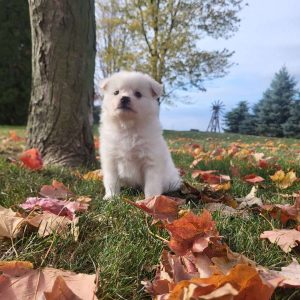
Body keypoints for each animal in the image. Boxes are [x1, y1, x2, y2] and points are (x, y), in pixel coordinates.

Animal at [100, 71, 180, 199]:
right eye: (116, 92)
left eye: (138, 94)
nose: (124, 98)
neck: (128, 127)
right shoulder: (110, 159)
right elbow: (111, 181)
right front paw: (111, 197)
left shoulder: (151, 161)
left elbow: (151, 185)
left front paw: (151, 200)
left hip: (171, 180)